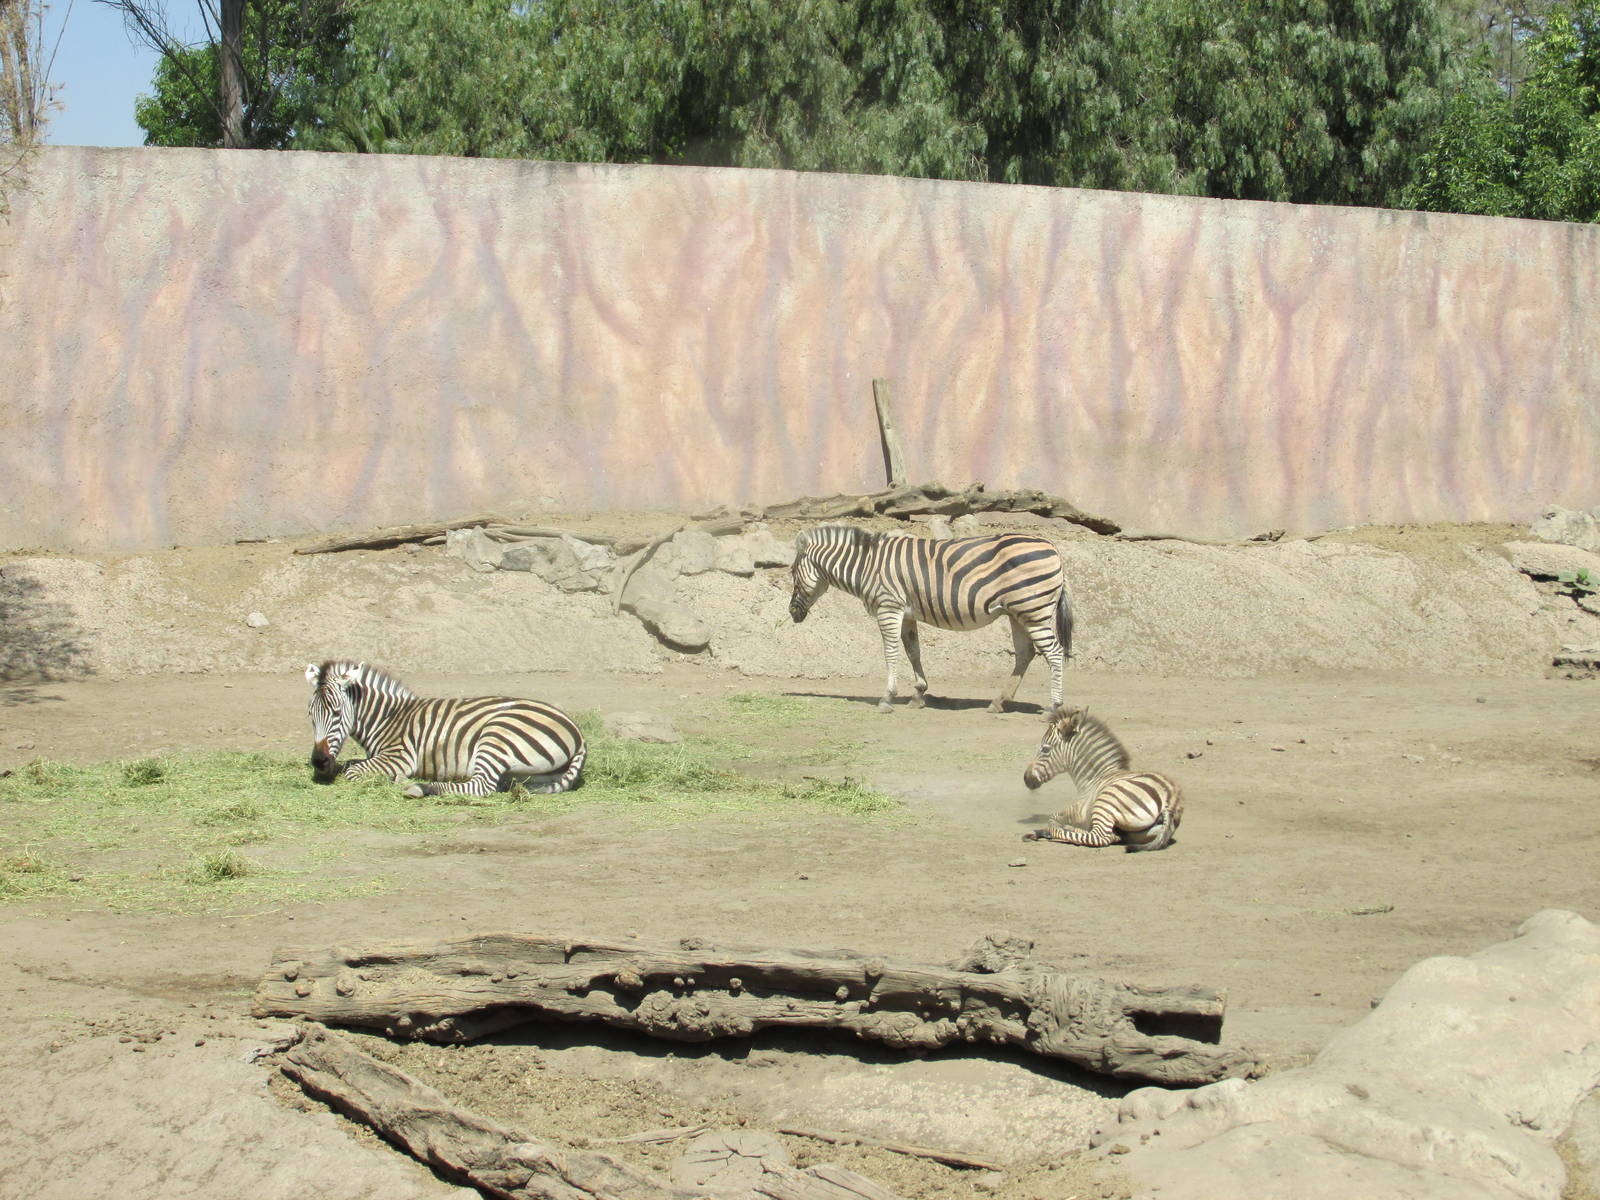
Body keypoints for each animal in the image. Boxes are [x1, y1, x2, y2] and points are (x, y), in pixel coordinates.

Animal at [305, 661, 585, 797]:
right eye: (310, 715)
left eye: (337, 714)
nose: (319, 762)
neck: (389, 717)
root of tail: (578, 733)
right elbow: (349, 764)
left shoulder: (398, 757)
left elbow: (352, 771)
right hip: (530, 774)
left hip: (496, 736)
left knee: (481, 787)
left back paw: (420, 787)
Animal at [788, 524, 1073, 713]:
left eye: (791, 572)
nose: (791, 613)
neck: (867, 566)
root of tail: (1053, 547)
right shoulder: (907, 614)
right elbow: (913, 652)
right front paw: (918, 694)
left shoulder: (888, 607)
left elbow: (890, 652)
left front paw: (887, 698)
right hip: (1018, 612)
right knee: (1026, 653)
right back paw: (999, 702)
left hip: (1034, 610)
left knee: (1054, 652)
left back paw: (1054, 706)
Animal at [1020, 705, 1183, 852]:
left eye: (1045, 749)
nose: (1026, 778)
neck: (1094, 777)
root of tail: (1169, 803)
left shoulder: (1078, 810)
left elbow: (1052, 818)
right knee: (1110, 836)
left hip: (1105, 803)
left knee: (1099, 837)